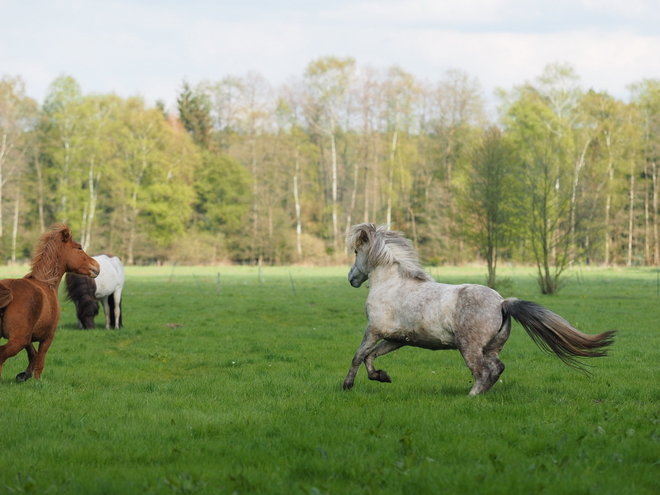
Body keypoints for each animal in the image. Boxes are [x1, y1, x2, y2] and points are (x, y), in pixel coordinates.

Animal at [0, 225, 99, 384]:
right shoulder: (48, 337)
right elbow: (40, 361)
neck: (46, 283)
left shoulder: (28, 336)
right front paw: (36, 380)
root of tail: (9, 289)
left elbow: (32, 354)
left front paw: (23, 375)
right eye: (79, 248)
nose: (96, 266)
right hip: (18, 340)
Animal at [342, 224, 616, 396]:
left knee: (482, 373)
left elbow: (358, 355)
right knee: (496, 369)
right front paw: (381, 376)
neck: (392, 284)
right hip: (491, 348)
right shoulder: (397, 339)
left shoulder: (374, 330)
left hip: (468, 347)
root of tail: (502, 303)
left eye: (356, 251)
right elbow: (370, 357)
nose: (351, 279)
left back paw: (471, 396)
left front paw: (347, 385)